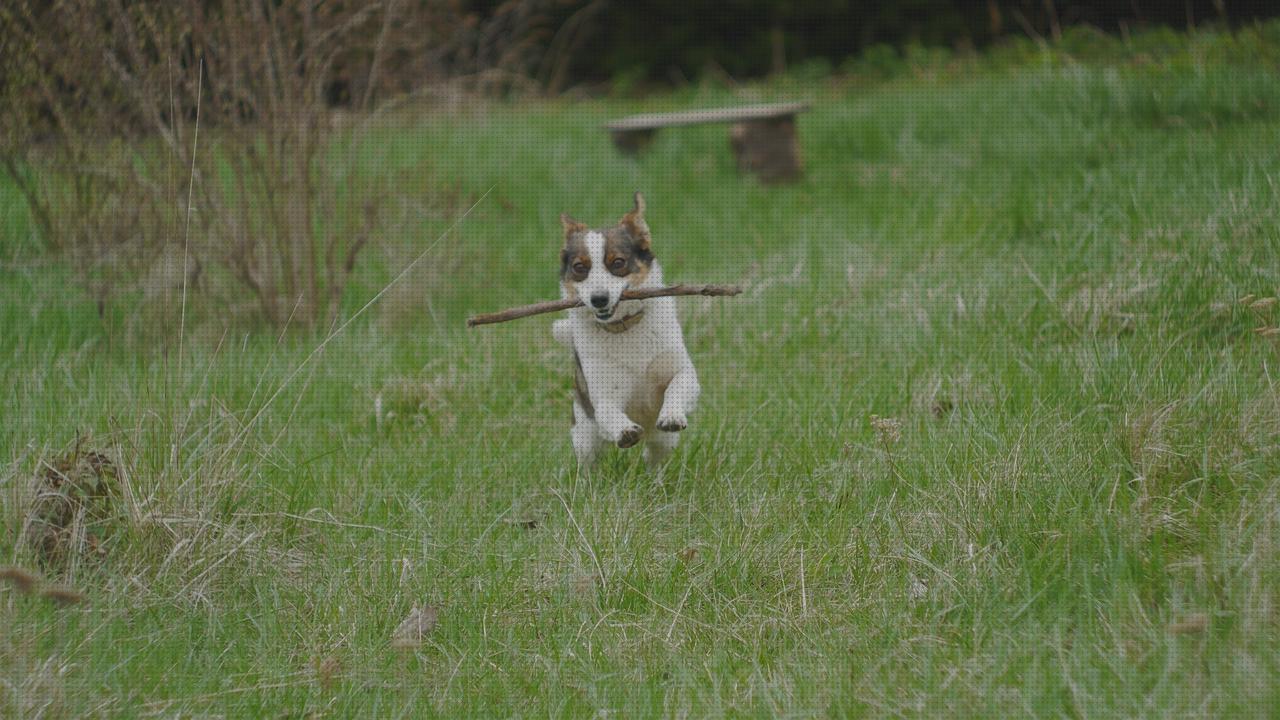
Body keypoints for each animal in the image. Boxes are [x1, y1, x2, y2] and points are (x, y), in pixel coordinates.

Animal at [552, 192, 706, 466]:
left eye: (618, 263)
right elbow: (607, 410)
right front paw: (625, 431)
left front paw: (672, 414)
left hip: (663, 443)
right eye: (580, 267)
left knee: (654, 457)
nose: (598, 299)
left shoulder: (681, 371)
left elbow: (678, 385)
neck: (624, 329)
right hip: (584, 436)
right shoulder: (604, 393)